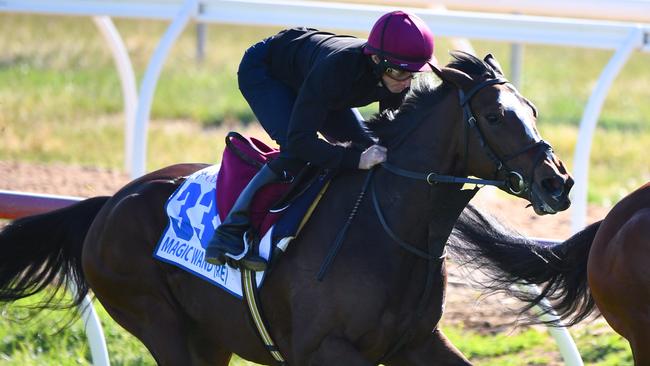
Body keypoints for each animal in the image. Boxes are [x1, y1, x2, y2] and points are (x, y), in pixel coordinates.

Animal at [0, 52, 572, 366]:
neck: (387, 227)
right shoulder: (325, 351)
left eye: (532, 110)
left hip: (208, 337)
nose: (559, 182)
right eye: (496, 116)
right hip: (158, 322)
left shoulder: (416, 343)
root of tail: (108, 204)